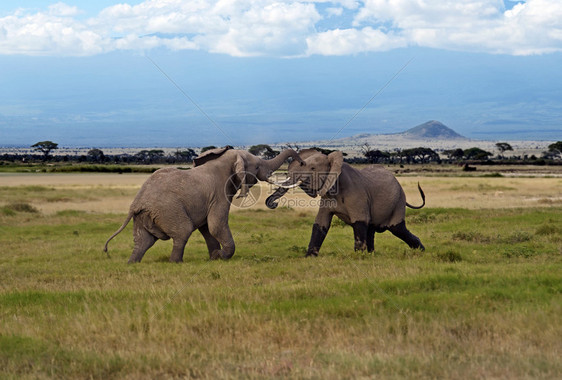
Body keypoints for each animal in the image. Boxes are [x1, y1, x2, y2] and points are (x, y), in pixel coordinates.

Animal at [104, 147, 302, 262]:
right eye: (257, 166)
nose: (301, 161)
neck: (225, 161)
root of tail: (136, 203)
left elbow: (207, 228)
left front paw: (214, 257)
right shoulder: (220, 194)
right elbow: (216, 225)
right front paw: (222, 256)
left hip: (144, 216)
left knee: (143, 241)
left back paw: (132, 263)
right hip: (168, 210)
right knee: (182, 232)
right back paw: (176, 263)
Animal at [264, 148, 422, 255]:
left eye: (313, 168)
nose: (274, 204)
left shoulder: (357, 194)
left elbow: (359, 221)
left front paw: (358, 258)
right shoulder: (327, 195)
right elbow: (320, 224)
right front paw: (309, 257)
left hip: (398, 202)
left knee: (398, 229)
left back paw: (421, 250)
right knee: (371, 230)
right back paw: (372, 255)